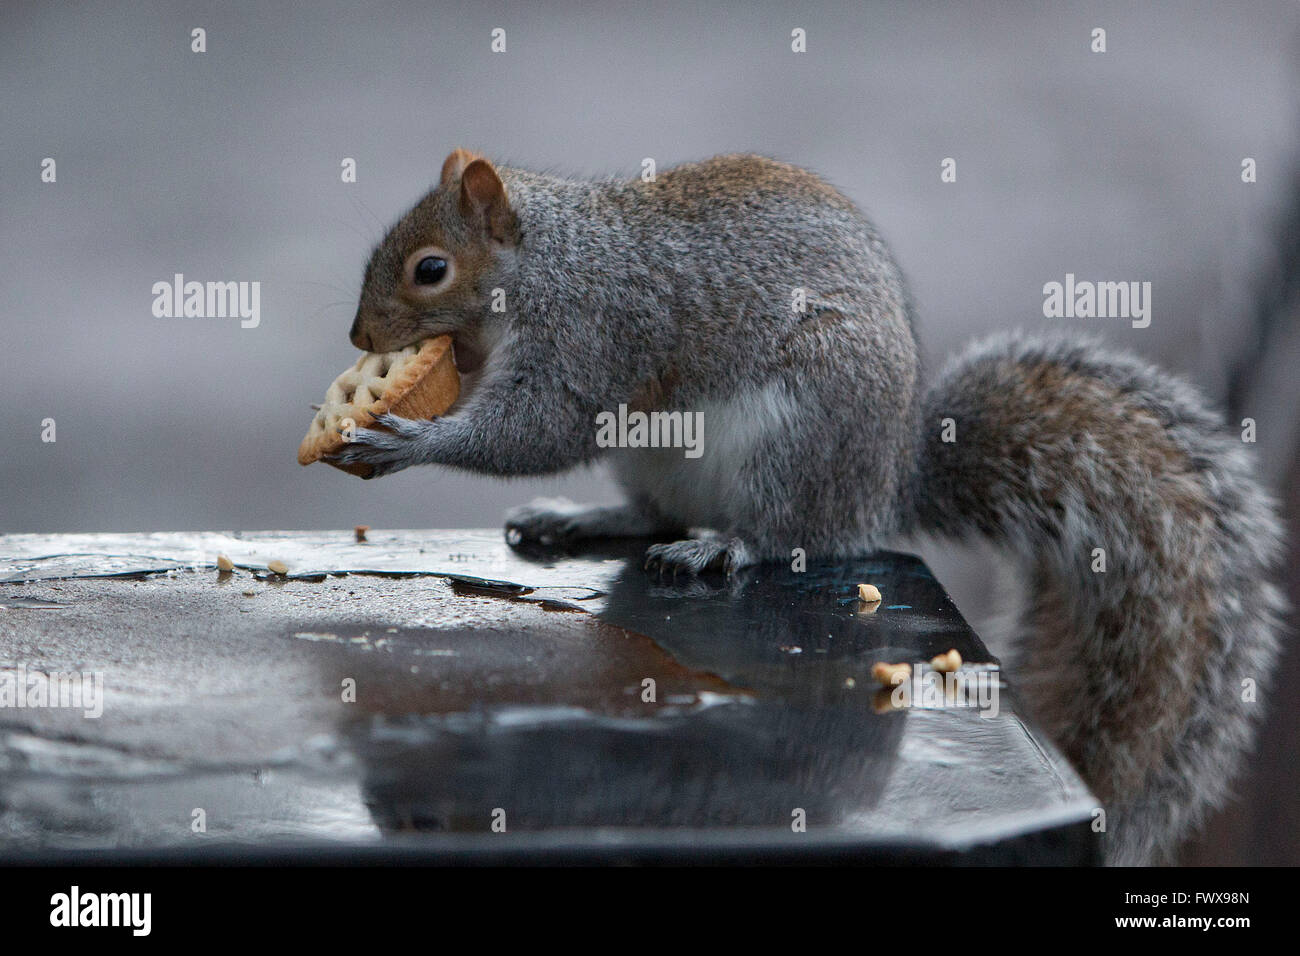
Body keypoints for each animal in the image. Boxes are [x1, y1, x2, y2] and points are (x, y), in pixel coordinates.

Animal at [330, 149, 1284, 868]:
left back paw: (725, 548)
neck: (548, 263)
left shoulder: (593, 332)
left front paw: (407, 438)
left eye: (430, 269)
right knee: (658, 514)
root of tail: (886, 482)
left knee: (790, 536)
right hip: (658, 457)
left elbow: (538, 429)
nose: (359, 340)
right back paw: (595, 520)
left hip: (797, 440)